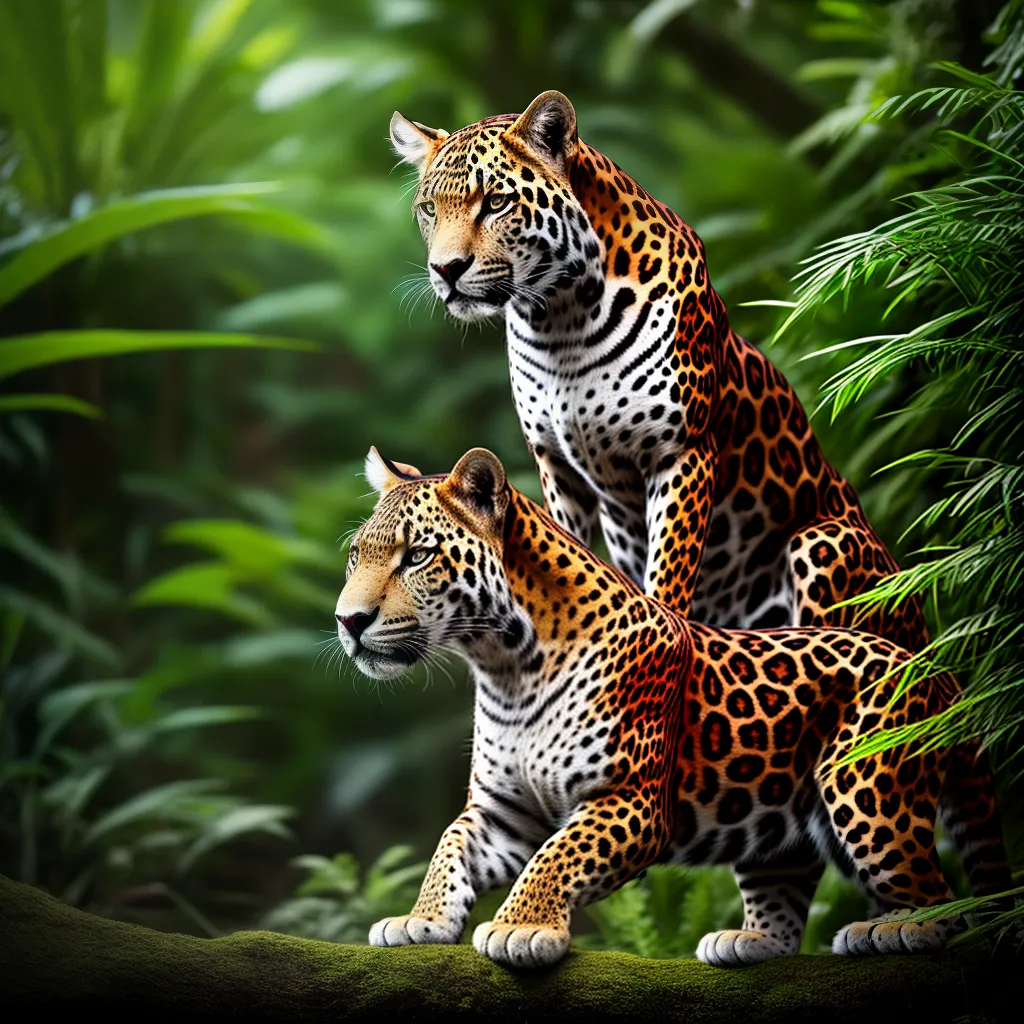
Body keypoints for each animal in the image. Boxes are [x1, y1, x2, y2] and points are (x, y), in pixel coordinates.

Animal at [335, 446, 1011, 969]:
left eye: (417, 556)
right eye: (355, 556)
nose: (348, 621)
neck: (506, 666)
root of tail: (938, 669)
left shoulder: (630, 799)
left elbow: (555, 858)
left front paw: (520, 927)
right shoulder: (503, 811)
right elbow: (448, 846)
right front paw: (421, 919)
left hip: (865, 786)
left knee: (945, 899)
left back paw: (899, 929)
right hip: (777, 821)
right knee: (787, 893)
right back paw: (747, 942)